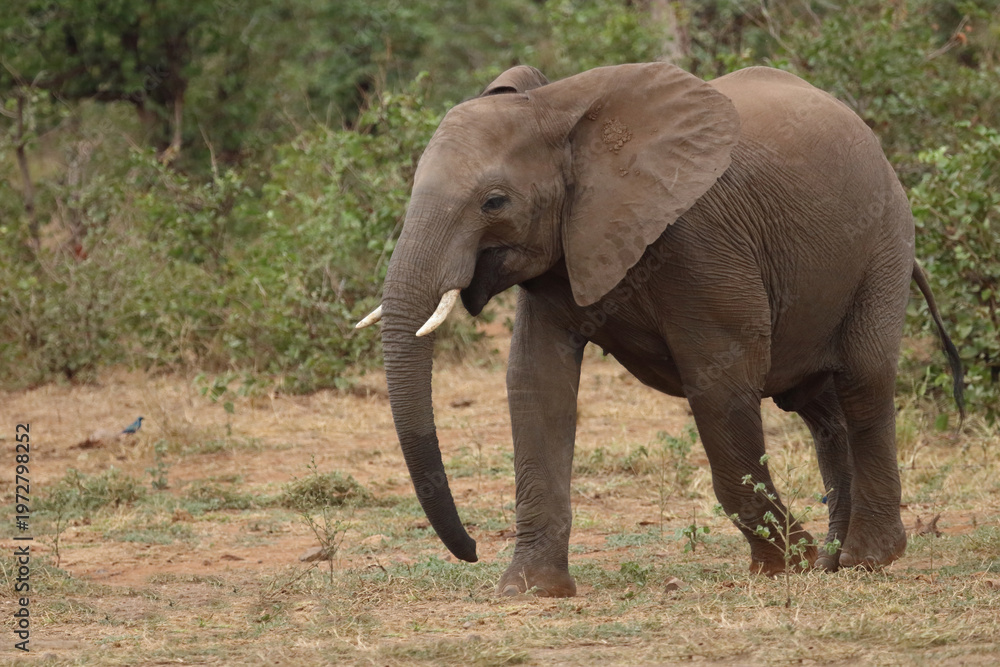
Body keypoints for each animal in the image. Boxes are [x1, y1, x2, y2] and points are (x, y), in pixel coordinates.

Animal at [356, 63, 964, 597]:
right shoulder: (565, 249)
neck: (559, 110)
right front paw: (528, 591)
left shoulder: (700, 237)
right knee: (821, 409)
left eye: (494, 202)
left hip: (884, 241)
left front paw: (784, 565)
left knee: (863, 381)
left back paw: (867, 559)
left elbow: (721, 384)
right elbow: (535, 383)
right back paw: (834, 562)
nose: (472, 550)